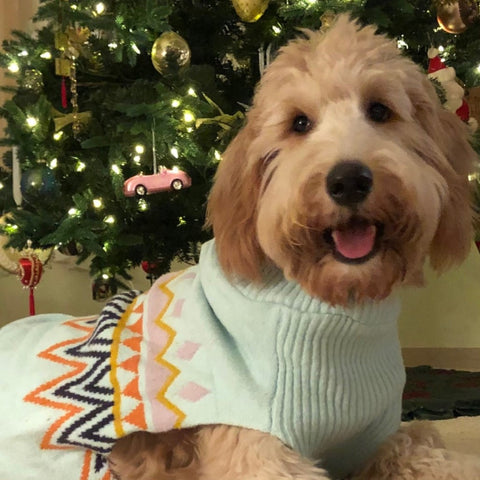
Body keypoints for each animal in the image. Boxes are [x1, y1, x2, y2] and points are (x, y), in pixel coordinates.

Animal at [0, 13, 480, 478]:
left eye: (380, 110)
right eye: (299, 123)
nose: (348, 180)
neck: (336, 305)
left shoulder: (380, 436)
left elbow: (427, 450)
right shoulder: (258, 448)